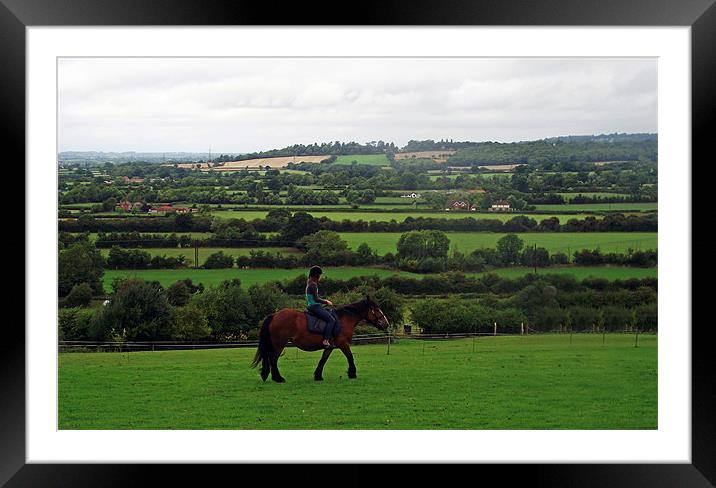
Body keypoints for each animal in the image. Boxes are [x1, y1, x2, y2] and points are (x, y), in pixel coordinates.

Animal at [250, 296, 388, 384]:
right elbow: (350, 357)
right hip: (279, 344)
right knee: (273, 359)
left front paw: (318, 376)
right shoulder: (343, 344)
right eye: (376, 309)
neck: (343, 319)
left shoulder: (330, 347)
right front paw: (352, 373)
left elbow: (323, 360)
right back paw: (278, 378)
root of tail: (275, 315)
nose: (386, 324)